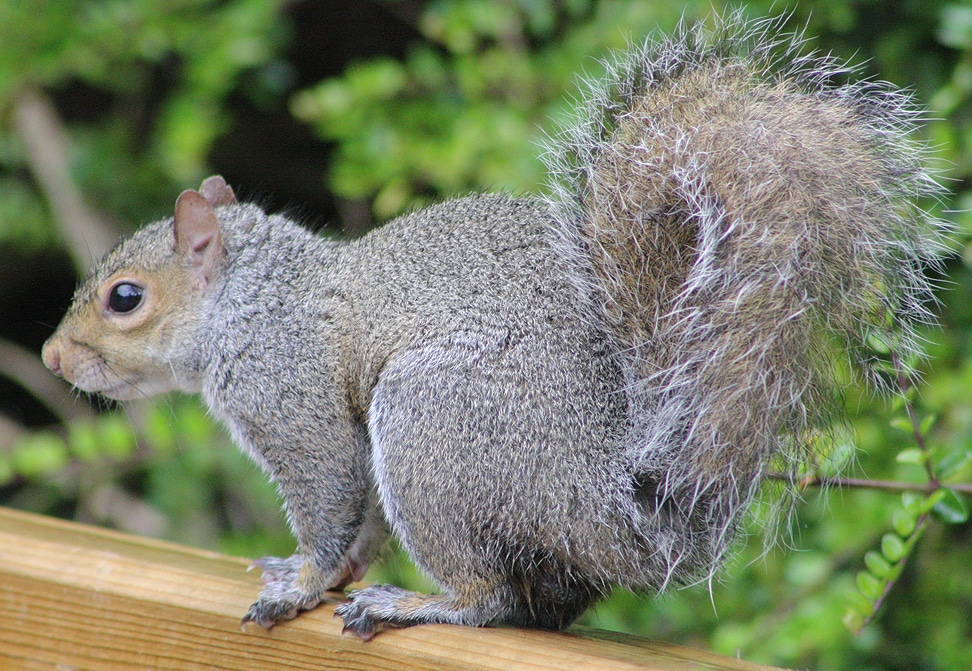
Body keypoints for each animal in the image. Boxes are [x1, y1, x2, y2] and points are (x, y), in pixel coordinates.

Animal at [42, 14, 943, 639]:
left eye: (125, 297)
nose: (52, 357)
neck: (255, 297)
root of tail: (617, 514)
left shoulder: (292, 397)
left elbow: (330, 496)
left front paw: (301, 582)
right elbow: (361, 524)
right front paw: (317, 573)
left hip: (432, 423)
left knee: (491, 595)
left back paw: (420, 602)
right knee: (533, 604)